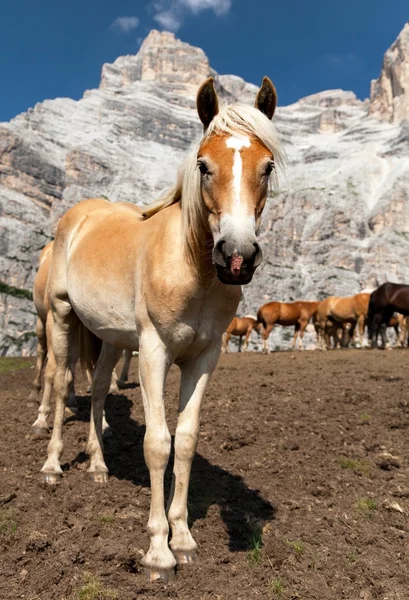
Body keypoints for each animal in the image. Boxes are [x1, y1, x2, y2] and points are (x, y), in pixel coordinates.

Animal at [39, 76, 284, 580]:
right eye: (203, 166)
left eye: (267, 166)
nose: (236, 256)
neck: (194, 270)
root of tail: (79, 216)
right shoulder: (154, 351)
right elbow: (157, 443)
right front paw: (158, 551)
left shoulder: (204, 358)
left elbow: (185, 441)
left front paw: (184, 539)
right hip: (62, 317)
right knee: (62, 382)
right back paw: (52, 466)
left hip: (111, 338)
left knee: (97, 391)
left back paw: (98, 466)